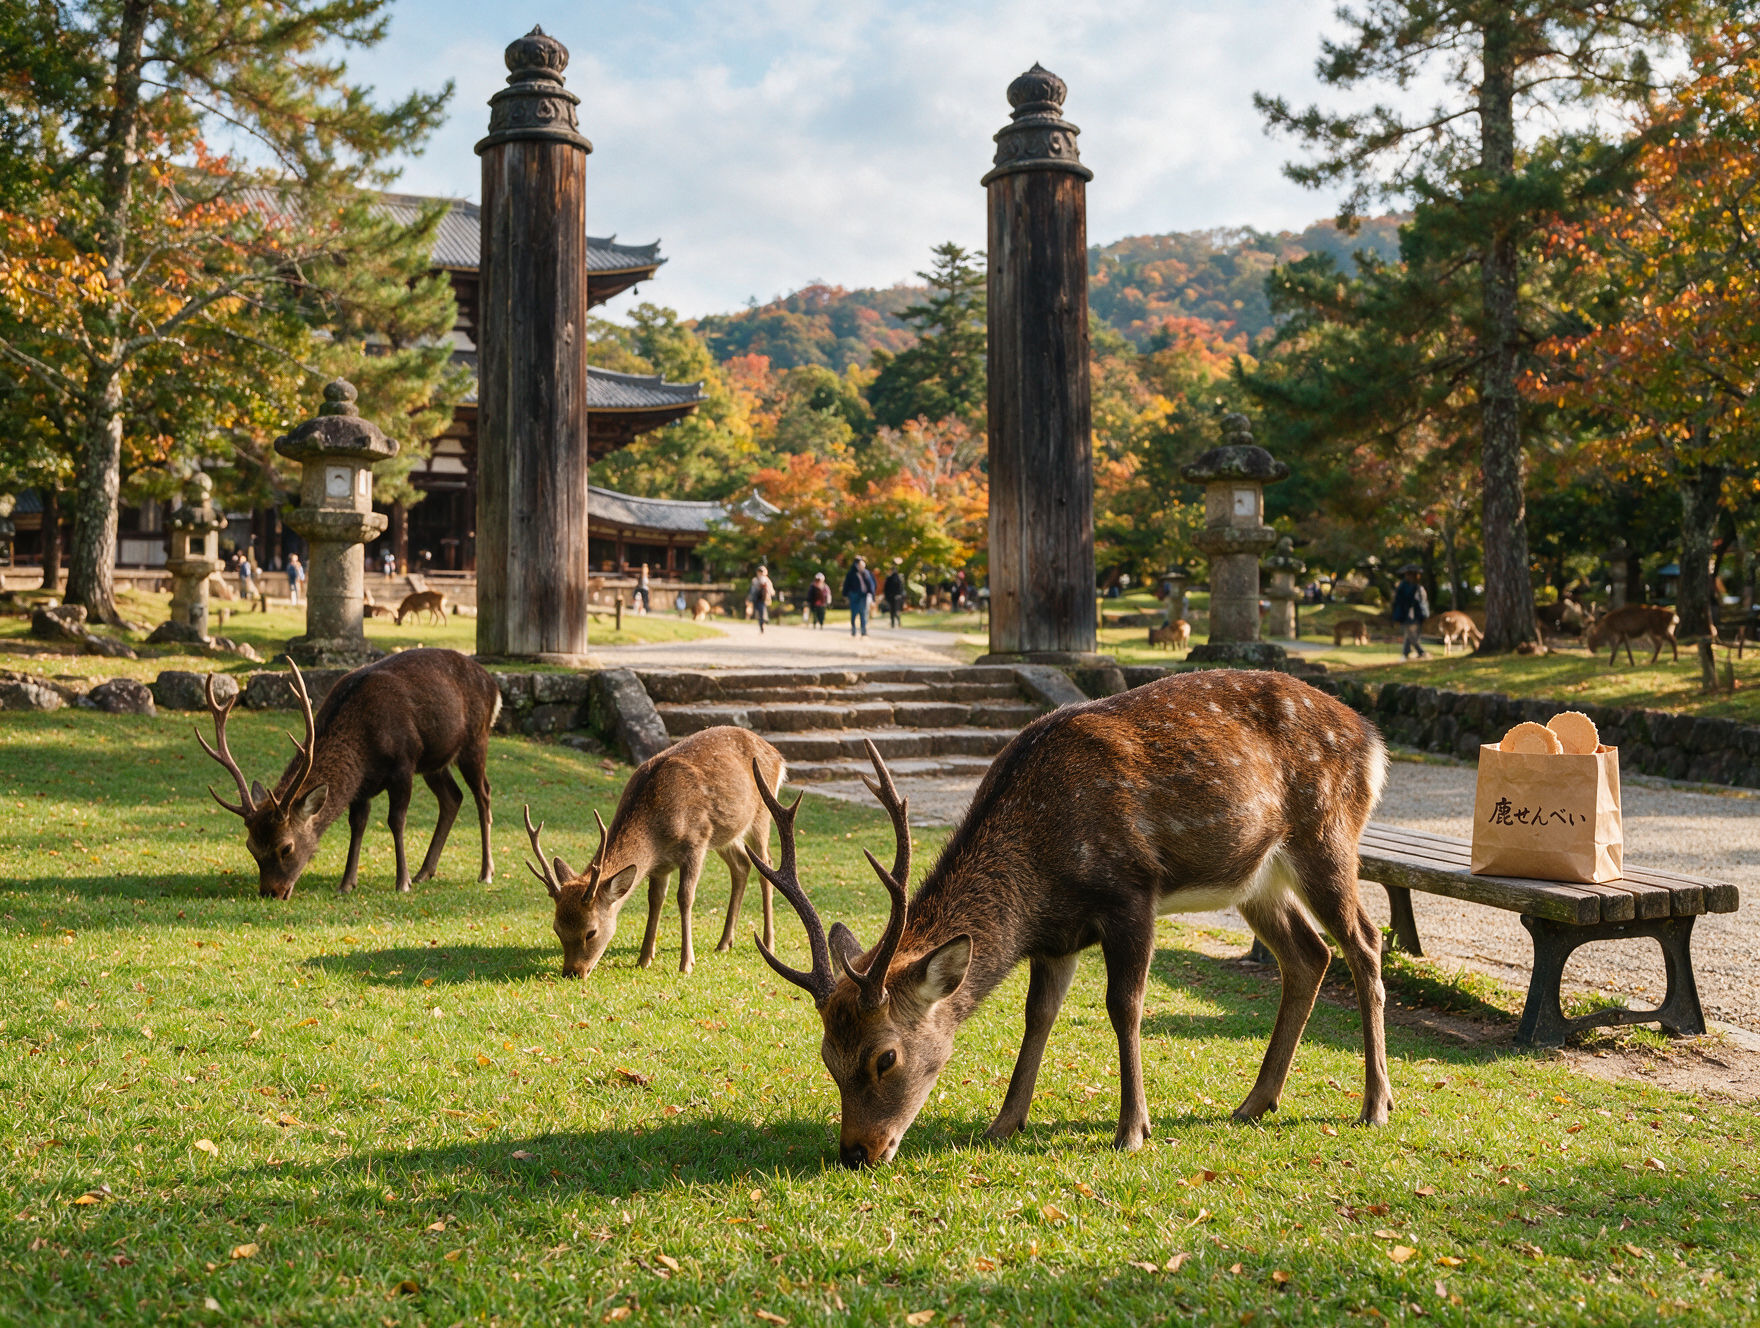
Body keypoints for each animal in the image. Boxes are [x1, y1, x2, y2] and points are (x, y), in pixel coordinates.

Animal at [197, 651, 499, 899]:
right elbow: (357, 824)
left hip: (475, 741)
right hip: (435, 761)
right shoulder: (361, 787)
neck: (363, 751)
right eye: (251, 847)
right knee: (453, 797)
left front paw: (401, 882)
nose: (271, 892)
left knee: (483, 795)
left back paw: (485, 872)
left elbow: (396, 820)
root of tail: (493, 684)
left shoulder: (404, 764)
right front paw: (346, 883)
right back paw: (425, 872)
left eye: (286, 847)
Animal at [521, 726, 785, 979]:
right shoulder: (660, 865)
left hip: (761, 815)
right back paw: (724, 943)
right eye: (557, 928)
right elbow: (655, 900)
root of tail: (777, 755)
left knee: (766, 867)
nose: (572, 973)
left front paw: (686, 964)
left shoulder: (697, 841)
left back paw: (768, 943)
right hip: (726, 833)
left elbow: (685, 897)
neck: (656, 836)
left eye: (591, 932)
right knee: (741, 865)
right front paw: (644, 958)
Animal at [749, 669, 1392, 1168]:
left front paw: (1132, 1130)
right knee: (1309, 954)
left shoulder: (1131, 894)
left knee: (1364, 941)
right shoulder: (1056, 939)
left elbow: (1124, 1007)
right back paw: (1255, 1102)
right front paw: (1003, 1123)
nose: (857, 1151)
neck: (1040, 877)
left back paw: (1375, 1104)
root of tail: (1373, 739)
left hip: (1327, 834)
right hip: (1257, 877)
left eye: (885, 1057)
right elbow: (1037, 1016)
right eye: (827, 1057)